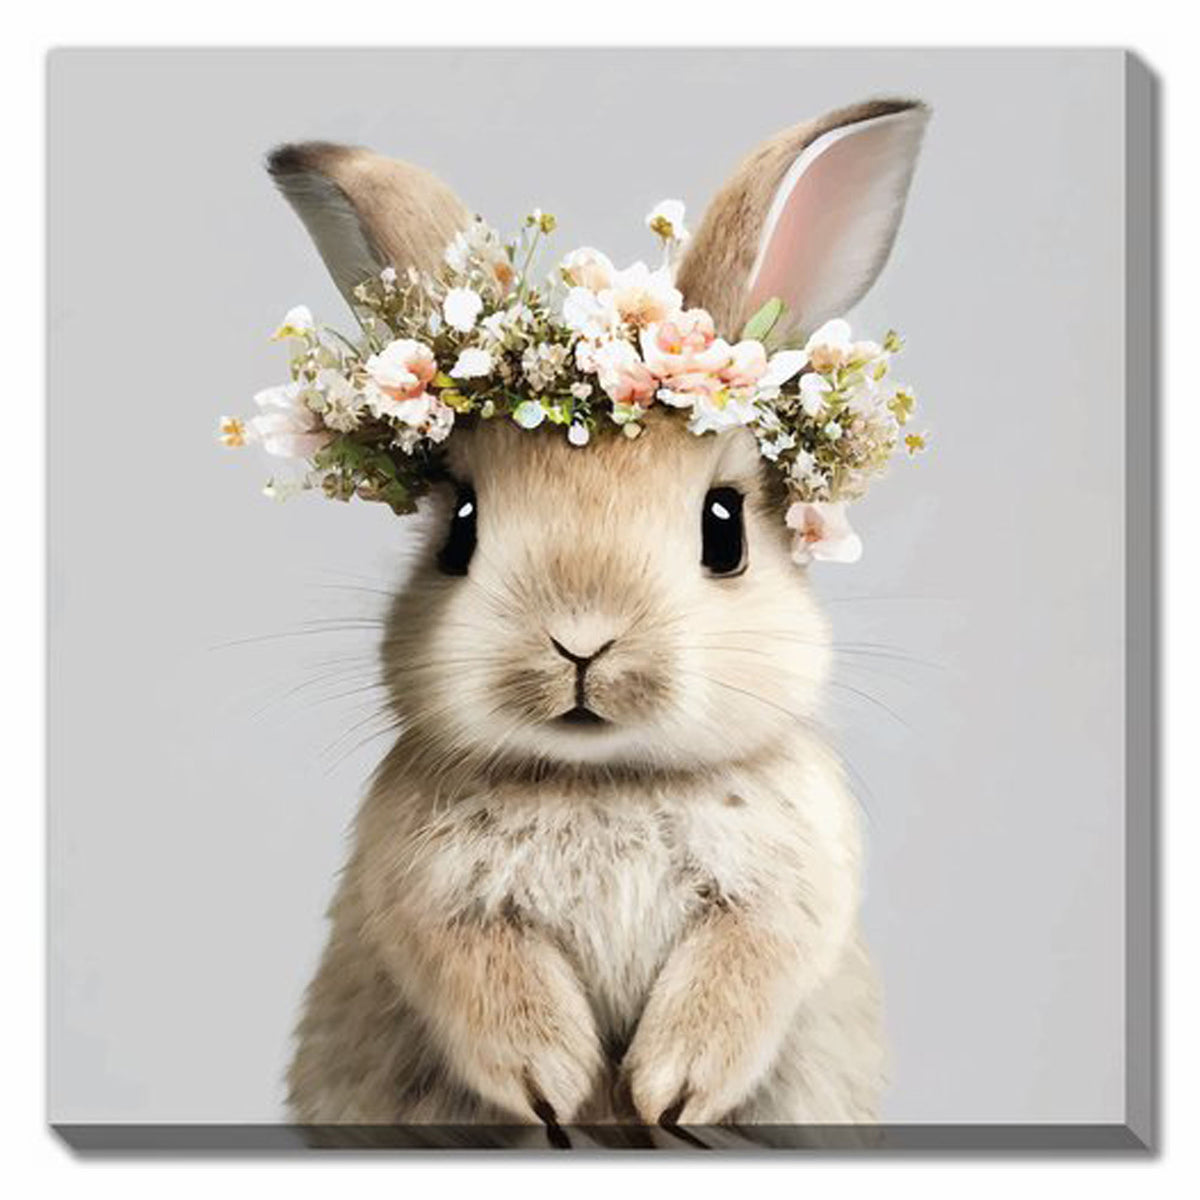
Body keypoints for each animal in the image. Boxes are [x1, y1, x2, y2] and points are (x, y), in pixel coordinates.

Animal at [269, 96, 929, 1144]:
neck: (604, 779)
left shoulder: (785, 896)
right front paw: (558, 1090)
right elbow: (488, 985)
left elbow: (742, 971)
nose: (581, 638)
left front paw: (672, 1092)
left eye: (724, 529)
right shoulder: (433, 905)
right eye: (460, 528)